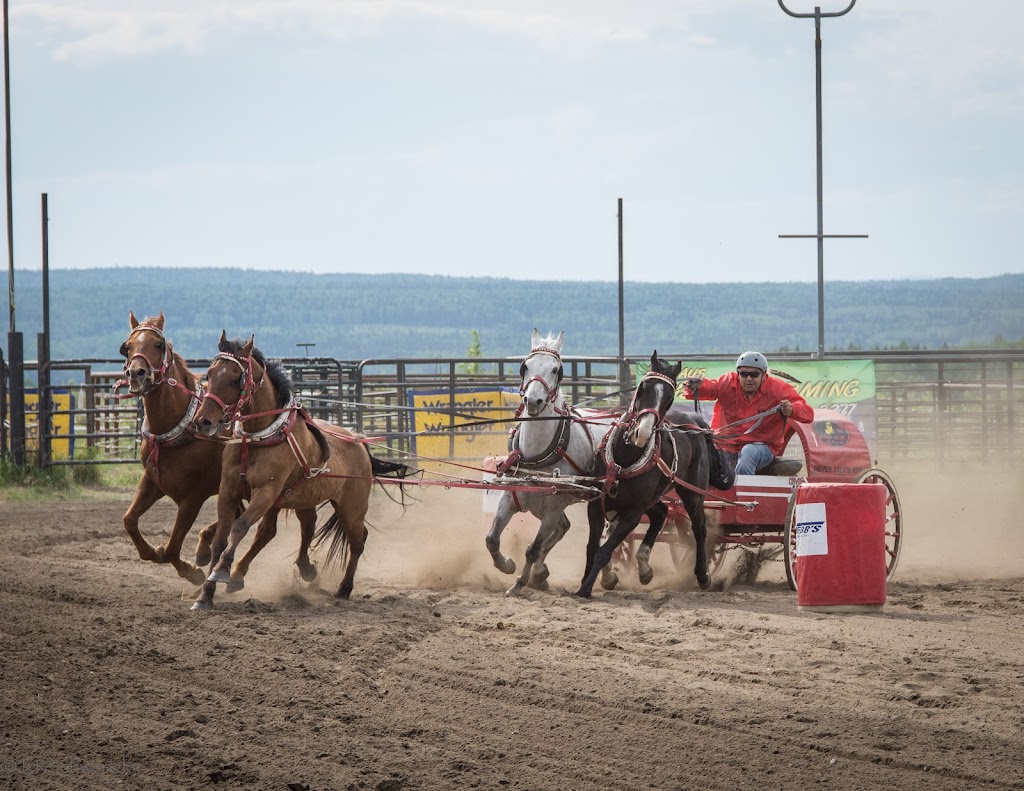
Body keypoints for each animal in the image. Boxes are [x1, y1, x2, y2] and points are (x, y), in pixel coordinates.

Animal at [117, 311, 226, 581]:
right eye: (128, 346)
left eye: (158, 344)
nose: (136, 373)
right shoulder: (152, 482)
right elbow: (129, 520)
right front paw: (151, 552)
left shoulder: (193, 498)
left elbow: (172, 546)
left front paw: (190, 571)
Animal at [186, 329, 409, 610]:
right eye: (209, 374)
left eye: (236, 377)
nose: (203, 422)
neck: (257, 438)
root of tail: (358, 441)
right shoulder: (229, 491)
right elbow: (221, 540)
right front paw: (205, 594)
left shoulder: (266, 492)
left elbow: (239, 527)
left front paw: (222, 571)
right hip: (302, 499)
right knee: (297, 528)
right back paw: (299, 569)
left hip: (351, 507)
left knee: (357, 540)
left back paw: (344, 588)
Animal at [483, 325, 610, 594]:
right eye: (525, 366)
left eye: (555, 370)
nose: (533, 401)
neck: (537, 455)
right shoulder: (509, 497)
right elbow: (491, 539)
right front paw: (507, 565)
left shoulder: (553, 509)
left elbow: (533, 549)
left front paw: (518, 584)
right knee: (567, 529)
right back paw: (542, 573)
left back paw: (607, 575)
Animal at [577, 352, 712, 598]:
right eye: (642, 387)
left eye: (669, 397)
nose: (641, 433)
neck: (623, 460)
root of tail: (695, 421)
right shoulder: (596, 505)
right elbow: (592, 547)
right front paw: (589, 579)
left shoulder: (632, 514)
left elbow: (604, 551)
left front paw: (586, 587)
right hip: (653, 498)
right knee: (662, 513)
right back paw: (644, 568)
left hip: (692, 493)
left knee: (699, 527)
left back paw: (702, 575)